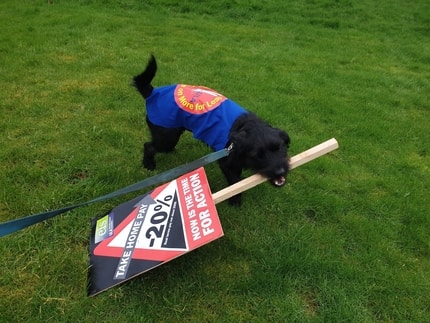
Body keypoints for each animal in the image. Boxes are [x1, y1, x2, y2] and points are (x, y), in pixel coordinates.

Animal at [133, 54, 290, 204]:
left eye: (280, 148)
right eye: (258, 155)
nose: (280, 171)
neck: (244, 127)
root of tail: (152, 92)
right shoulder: (226, 163)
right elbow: (235, 182)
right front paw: (235, 199)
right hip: (167, 137)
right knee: (149, 146)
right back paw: (148, 164)